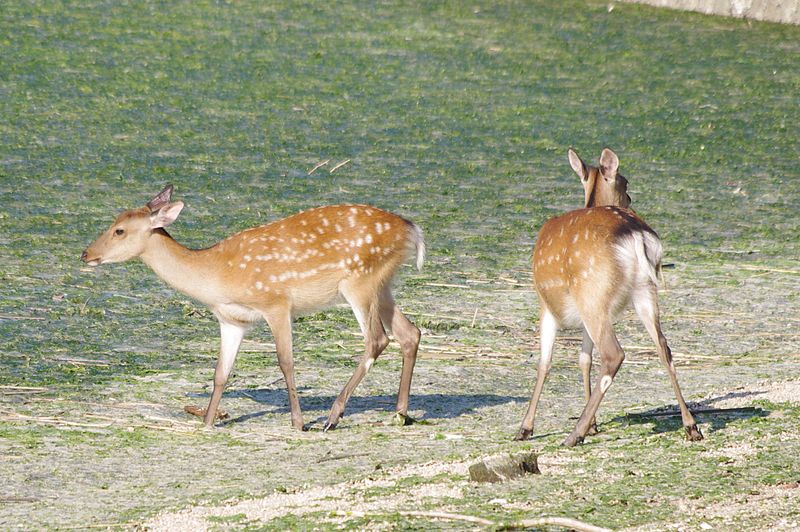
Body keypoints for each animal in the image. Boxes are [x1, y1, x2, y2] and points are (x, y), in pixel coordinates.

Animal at [83, 185, 424, 430]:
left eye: (119, 230)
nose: (86, 253)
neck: (217, 275)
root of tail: (413, 230)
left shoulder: (276, 302)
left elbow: (286, 362)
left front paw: (298, 423)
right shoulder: (231, 320)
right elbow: (221, 373)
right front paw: (207, 423)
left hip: (359, 281)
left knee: (377, 339)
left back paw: (333, 416)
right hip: (383, 286)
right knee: (410, 332)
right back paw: (400, 412)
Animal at [516, 148, 704, 446]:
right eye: (626, 185)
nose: (631, 201)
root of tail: (636, 236)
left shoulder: (546, 306)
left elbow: (544, 363)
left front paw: (525, 428)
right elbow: (584, 359)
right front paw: (594, 425)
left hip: (592, 293)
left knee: (613, 354)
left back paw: (574, 434)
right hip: (641, 292)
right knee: (664, 347)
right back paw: (691, 426)